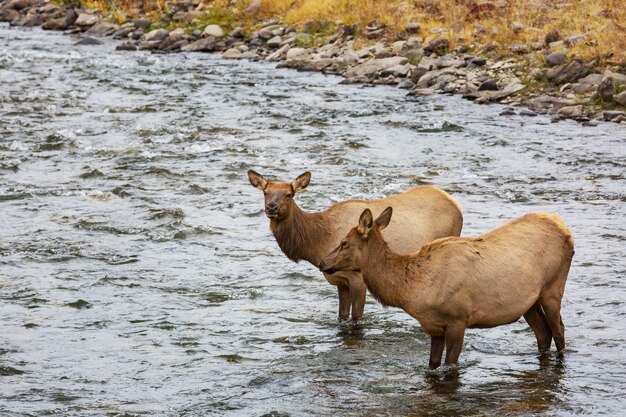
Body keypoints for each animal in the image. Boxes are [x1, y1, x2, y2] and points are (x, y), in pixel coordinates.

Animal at [249, 171, 464, 320]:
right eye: (265, 192)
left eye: (289, 194)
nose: (271, 207)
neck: (317, 243)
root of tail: (456, 204)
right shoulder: (339, 281)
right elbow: (342, 316)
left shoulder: (358, 279)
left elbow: (356, 318)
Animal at [320, 208, 572, 368]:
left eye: (344, 243)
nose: (323, 263)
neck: (412, 292)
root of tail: (565, 230)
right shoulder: (434, 326)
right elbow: (432, 365)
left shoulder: (458, 320)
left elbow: (449, 366)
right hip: (529, 302)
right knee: (543, 334)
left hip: (552, 287)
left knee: (558, 330)